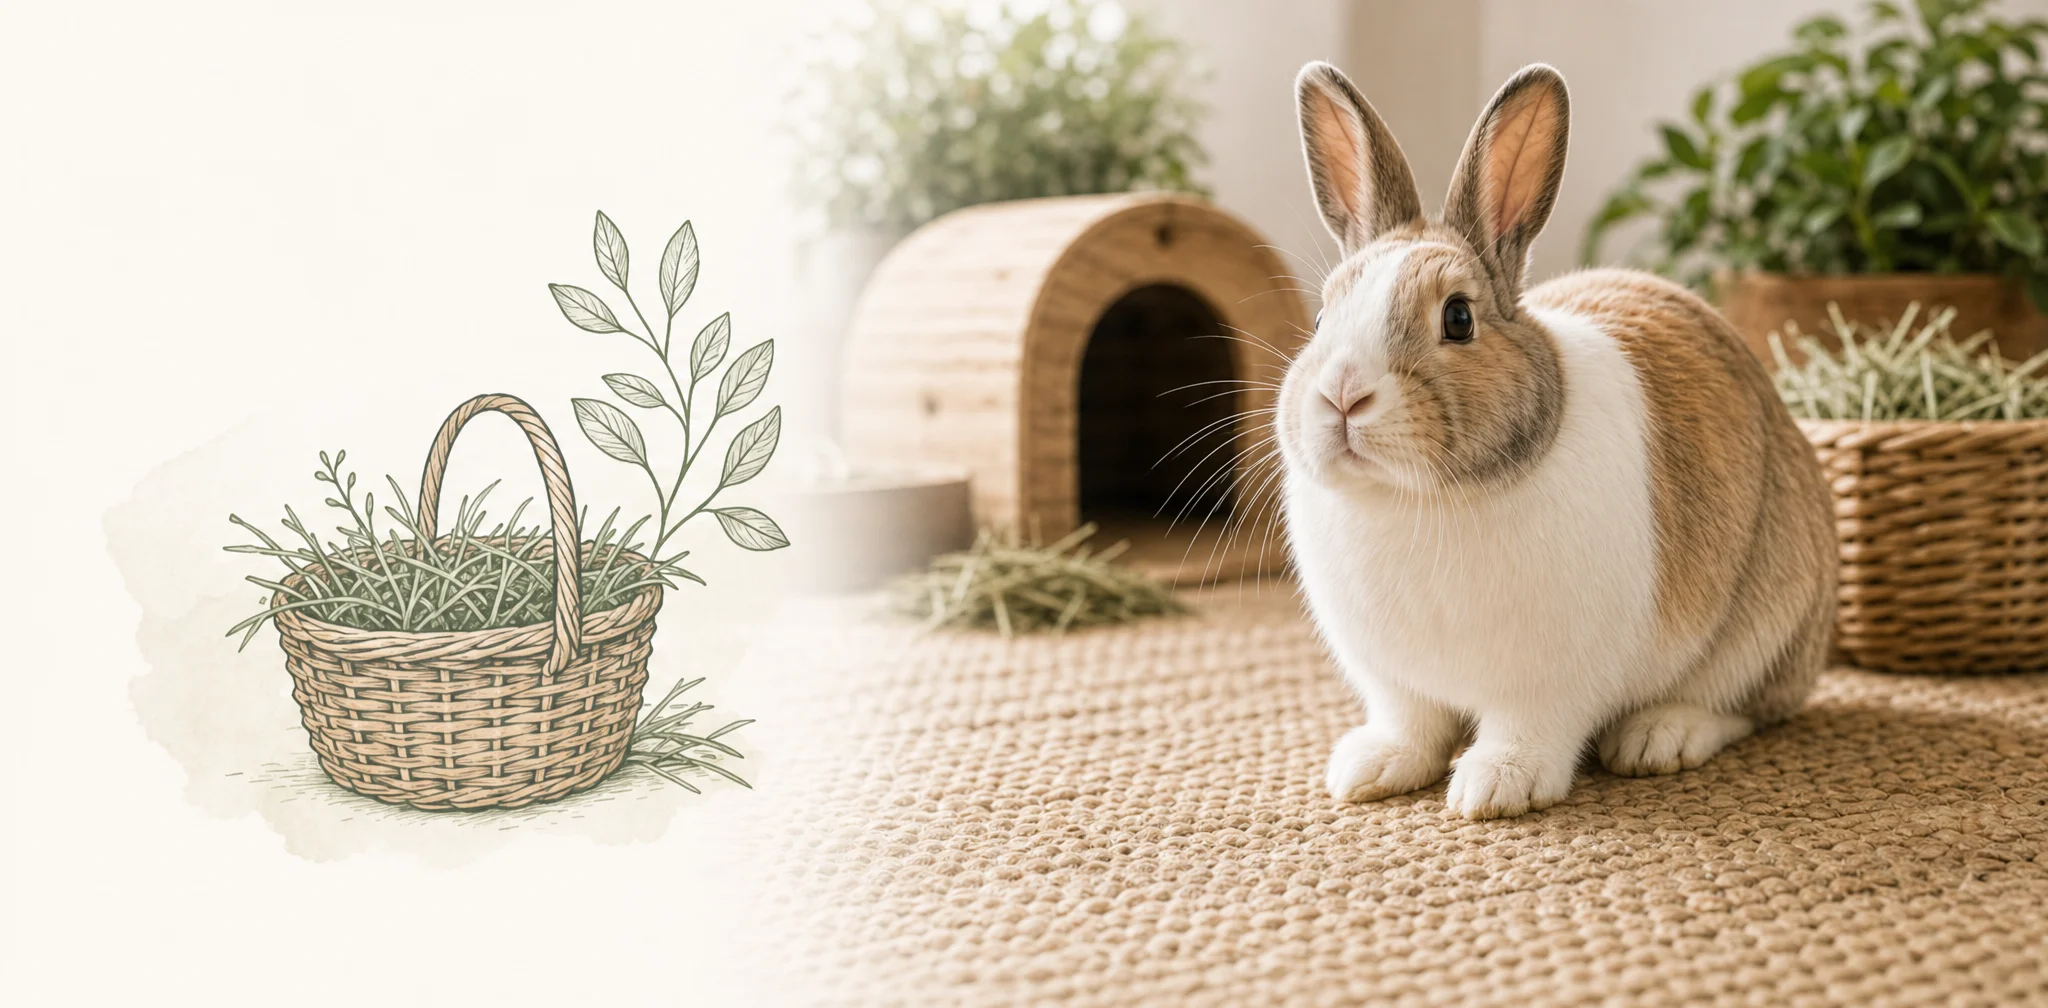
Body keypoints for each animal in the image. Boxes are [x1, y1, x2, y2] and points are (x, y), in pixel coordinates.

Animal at [1279, 60, 1837, 819]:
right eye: (1321, 317)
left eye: (1458, 318)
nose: (1342, 395)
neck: (1416, 499)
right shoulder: (1395, 681)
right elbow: (1411, 726)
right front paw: (1368, 770)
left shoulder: (1548, 684)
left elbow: (1529, 728)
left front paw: (1494, 787)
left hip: (1769, 625)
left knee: (1748, 706)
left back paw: (1659, 737)